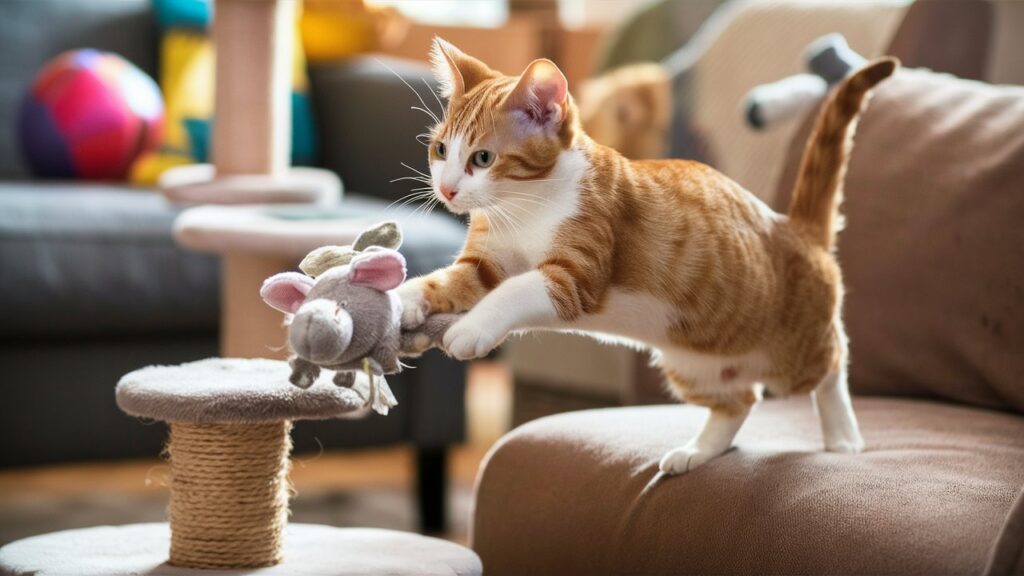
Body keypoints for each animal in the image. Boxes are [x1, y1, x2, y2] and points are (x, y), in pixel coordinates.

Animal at [399, 38, 897, 473]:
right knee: (740, 400)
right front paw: (405, 299)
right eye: (440, 149)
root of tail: (795, 228)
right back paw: (697, 451)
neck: (523, 210)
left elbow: (517, 289)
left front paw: (471, 328)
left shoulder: (578, 273)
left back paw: (842, 432)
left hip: (793, 356)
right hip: (692, 364)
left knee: (833, 360)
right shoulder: (487, 263)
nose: (447, 189)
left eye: (482, 158)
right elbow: (451, 280)